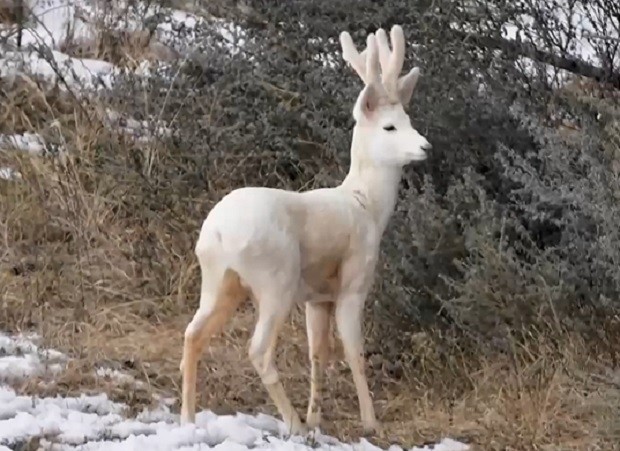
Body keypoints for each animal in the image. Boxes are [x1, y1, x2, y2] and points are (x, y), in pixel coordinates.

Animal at [179, 23, 432, 434]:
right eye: (390, 126)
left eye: (410, 120)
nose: (426, 146)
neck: (366, 205)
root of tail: (216, 233)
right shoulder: (354, 282)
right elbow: (354, 351)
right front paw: (369, 423)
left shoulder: (318, 297)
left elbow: (318, 352)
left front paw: (317, 417)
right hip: (275, 280)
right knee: (258, 349)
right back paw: (292, 424)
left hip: (219, 280)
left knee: (192, 333)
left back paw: (187, 418)